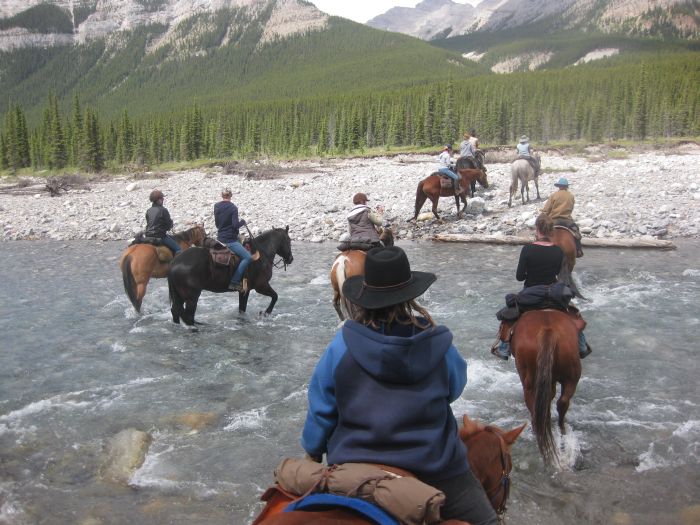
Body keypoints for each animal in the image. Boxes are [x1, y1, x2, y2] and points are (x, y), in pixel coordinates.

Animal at [508, 310, 580, 464]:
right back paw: (560, 429)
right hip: (571, 376)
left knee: (533, 402)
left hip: (529, 378)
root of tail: (548, 331)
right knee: (562, 401)